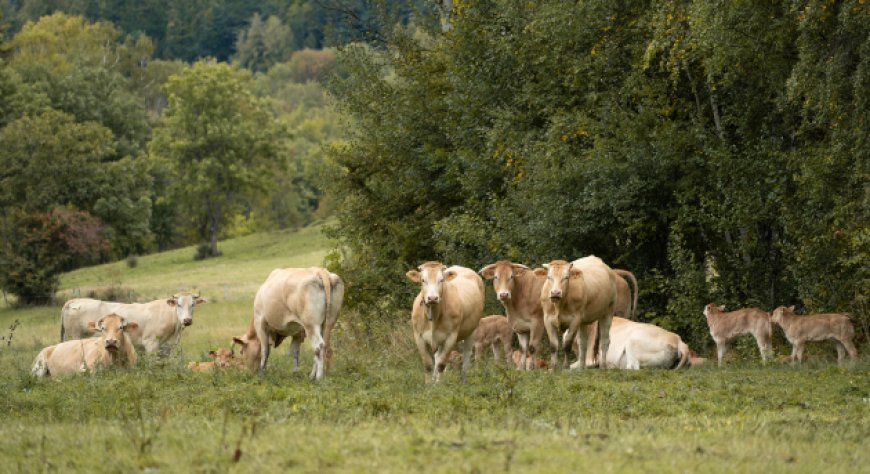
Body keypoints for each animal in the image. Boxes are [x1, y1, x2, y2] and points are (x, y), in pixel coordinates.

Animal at [60, 290, 208, 354]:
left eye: (193, 304)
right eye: (179, 305)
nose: (187, 320)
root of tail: (73, 301)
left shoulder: (166, 346)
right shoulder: (150, 343)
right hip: (75, 336)